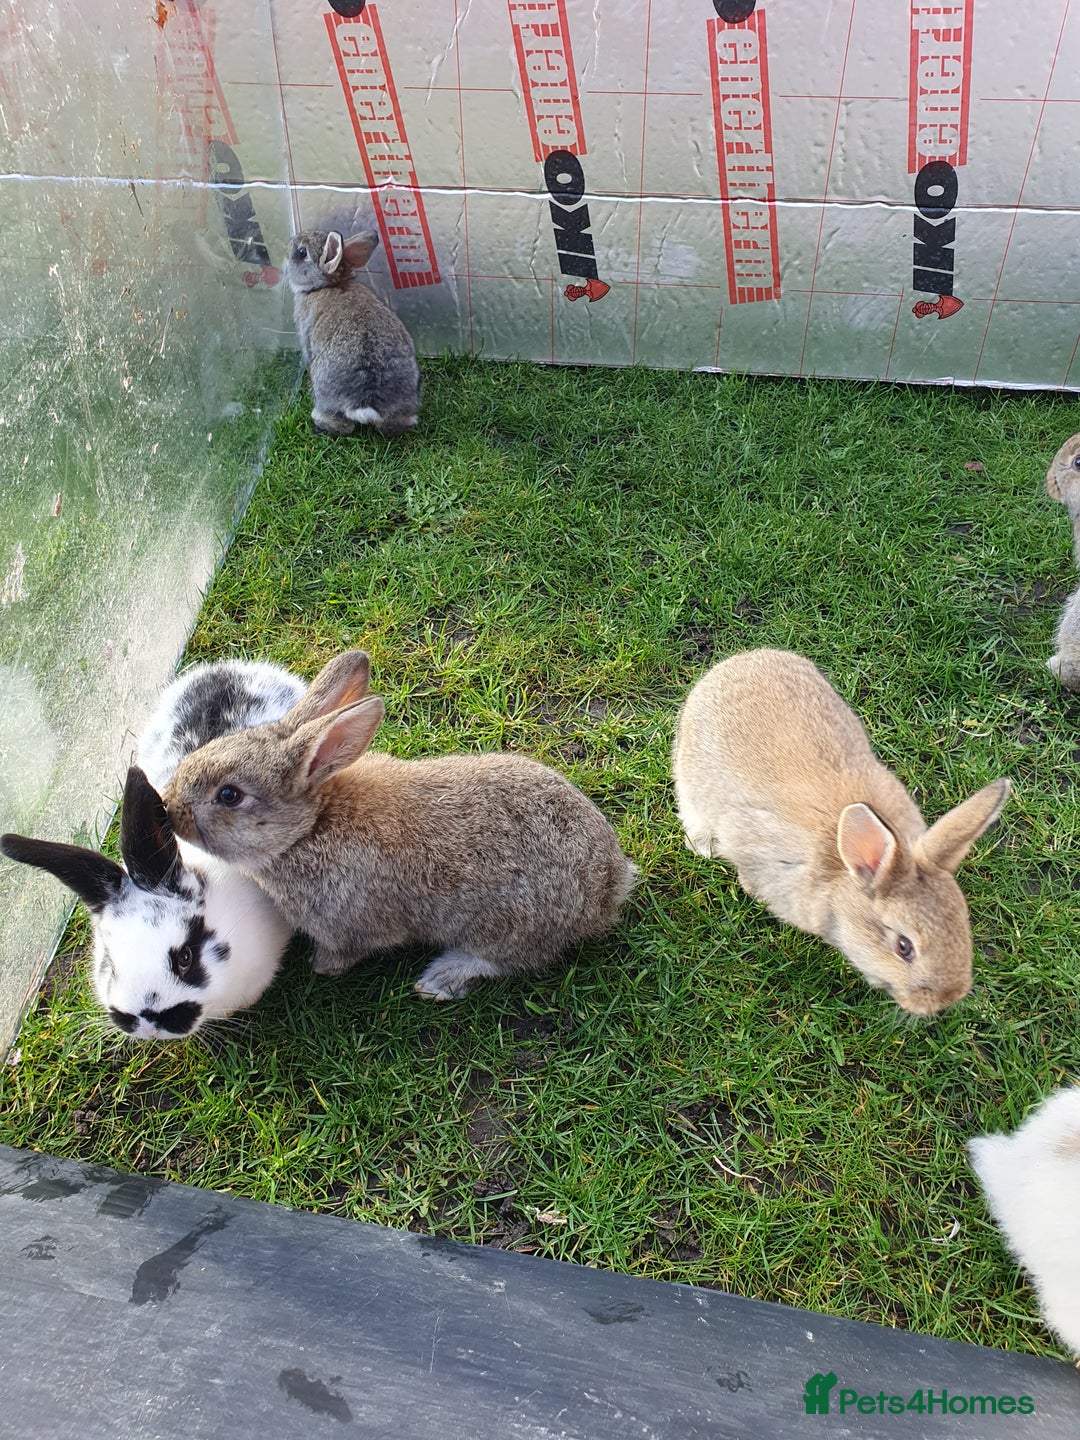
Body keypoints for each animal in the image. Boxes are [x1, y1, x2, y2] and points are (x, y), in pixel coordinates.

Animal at [160, 650, 638, 1001]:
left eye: (229, 795)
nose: (167, 807)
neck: (310, 828)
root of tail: (609, 888)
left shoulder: (348, 925)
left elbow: (347, 952)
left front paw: (321, 966)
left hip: (508, 925)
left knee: (501, 959)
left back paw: (440, 980)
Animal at [284, 228, 420, 439]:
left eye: (301, 252)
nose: (290, 241)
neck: (327, 284)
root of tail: (366, 401)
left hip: (325, 394)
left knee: (341, 425)